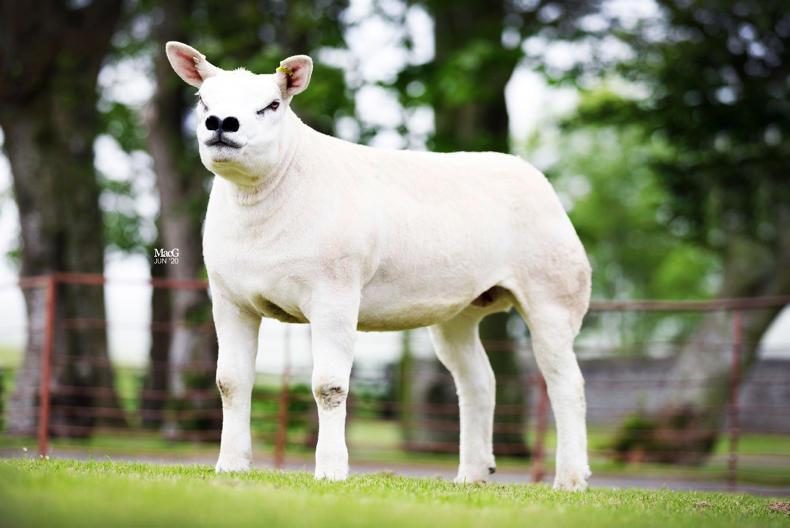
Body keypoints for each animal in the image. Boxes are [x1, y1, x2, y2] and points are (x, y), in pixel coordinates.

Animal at [165, 41, 592, 491]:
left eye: (272, 104)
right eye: (202, 100)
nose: (221, 123)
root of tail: (532, 174)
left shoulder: (334, 296)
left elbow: (328, 386)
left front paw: (331, 470)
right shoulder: (229, 300)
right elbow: (230, 383)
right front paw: (230, 466)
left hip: (553, 295)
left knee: (567, 384)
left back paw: (570, 478)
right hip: (458, 312)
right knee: (478, 382)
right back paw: (472, 475)